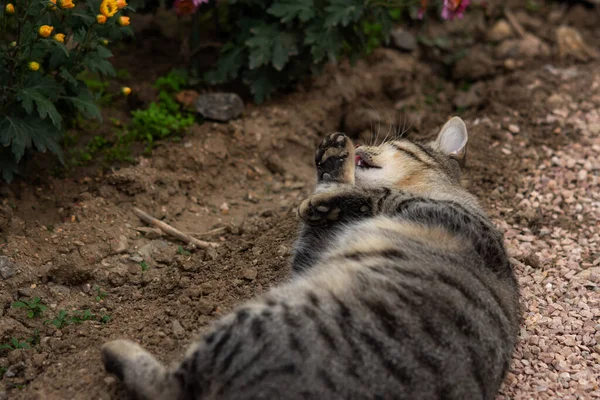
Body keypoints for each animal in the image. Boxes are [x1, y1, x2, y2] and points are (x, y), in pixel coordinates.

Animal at [101, 116, 516, 400]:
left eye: (397, 143)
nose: (361, 147)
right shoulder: (313, 251)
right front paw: (332, 160)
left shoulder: (410, 207)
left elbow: (363, 194)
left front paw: (333, 167)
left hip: (254, 321)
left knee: (169, 387)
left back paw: (113, 349)